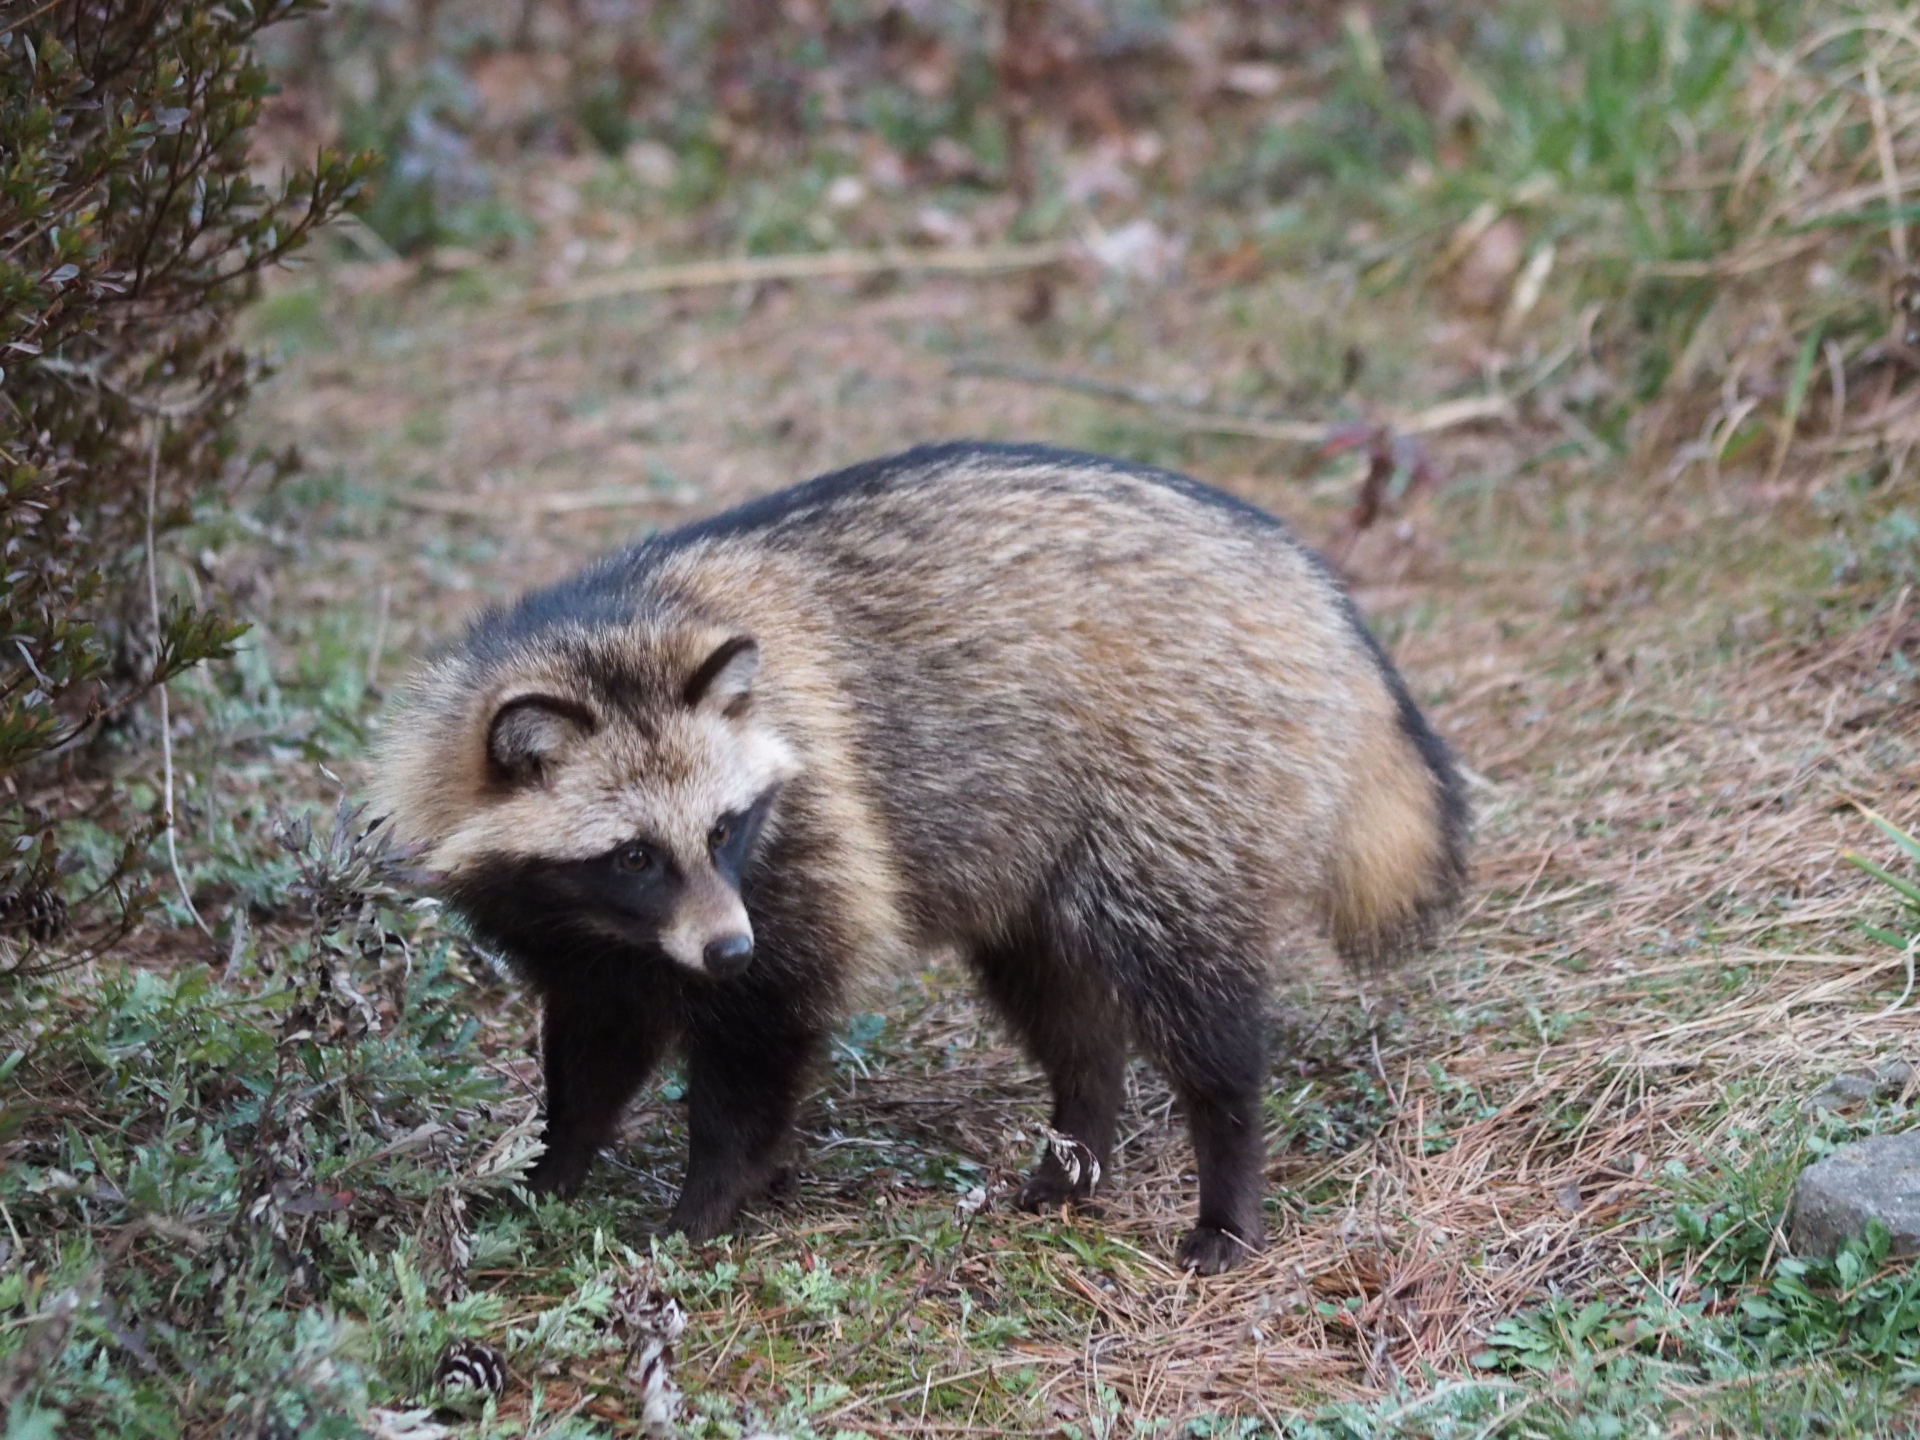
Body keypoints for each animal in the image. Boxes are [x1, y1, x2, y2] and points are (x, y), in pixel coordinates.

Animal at [378, 439, 1466, 1274]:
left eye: (724, 830)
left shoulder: (807, 839)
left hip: (1180, 789)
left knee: (1194, 1002)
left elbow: (765, 1036)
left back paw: (1225, 1171)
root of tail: (1300, 573)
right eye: (633, 856)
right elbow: (594, 1049)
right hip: (1034, 851)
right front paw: (547, 1172)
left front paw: (707, 1200)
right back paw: (1078, 1143)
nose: (727, 950)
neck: (609, 630)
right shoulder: (585, 932)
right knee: (1065, 1010)